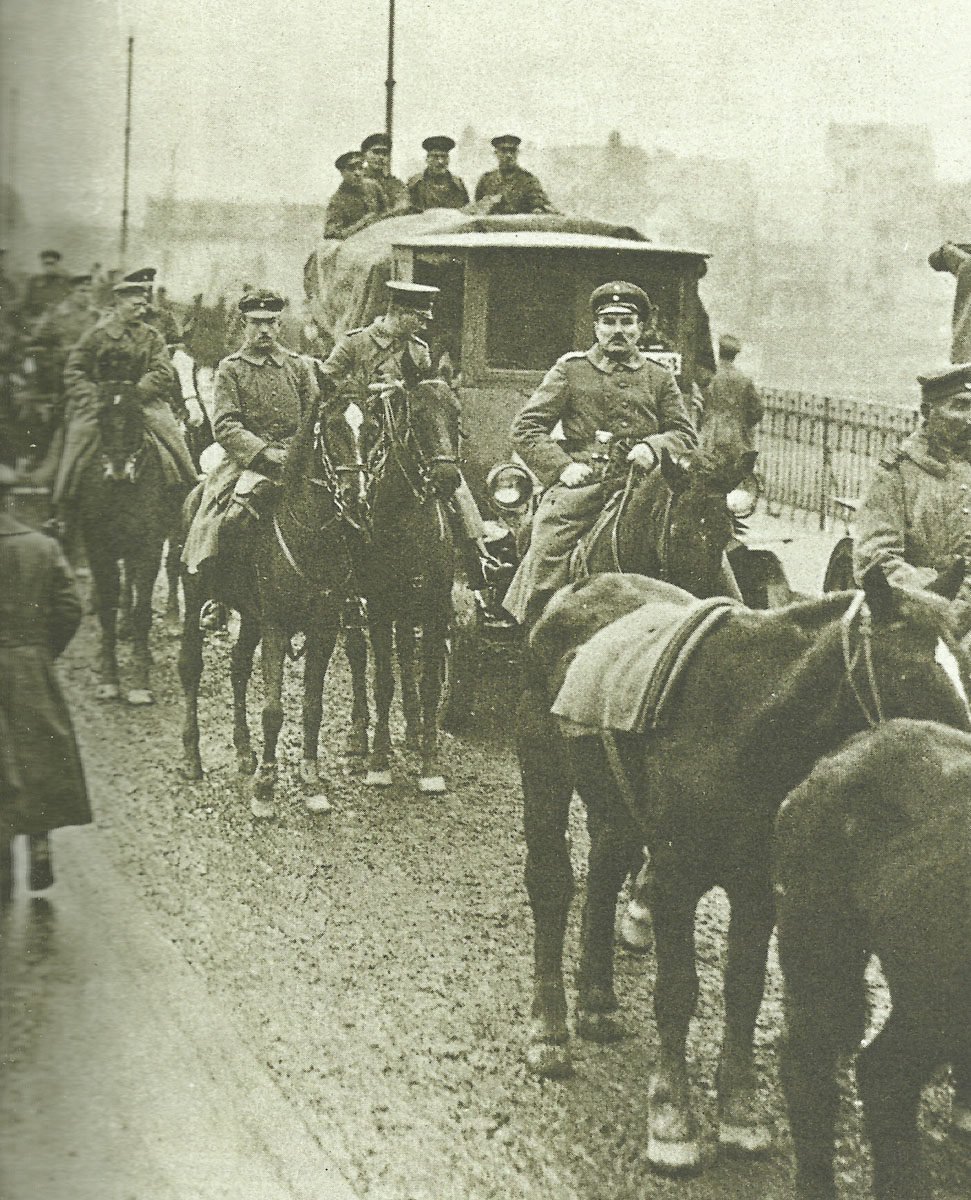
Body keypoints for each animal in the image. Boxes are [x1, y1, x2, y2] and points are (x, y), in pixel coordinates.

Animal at [78, 388, 184, 700]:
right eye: (100, 416)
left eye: (137, 414)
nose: (118, 469)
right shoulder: (99, 547)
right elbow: (108, 606)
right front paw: (108, 676)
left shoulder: (151, 543)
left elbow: (144, 607)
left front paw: (139, 680)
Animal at [177, 393, 367, 816]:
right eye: (333, 430)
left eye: (370, 428)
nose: (356, 498)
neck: (312, 537)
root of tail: (197, 490)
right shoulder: (276, 627)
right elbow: (274, 711)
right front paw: (265, 787)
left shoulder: (323, 628)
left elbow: (312, 706)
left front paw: (311, 779)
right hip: (194, 596)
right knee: (191, 668)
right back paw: (192, 758)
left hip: (250, 616)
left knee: (238, 666)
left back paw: (244, 751)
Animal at [352, 369, 463, 792]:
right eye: (416, 414)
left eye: (456, 413)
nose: (447, 477)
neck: (406, 519)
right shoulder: (380, 607)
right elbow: (382, 681)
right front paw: (379, 760)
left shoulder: (435, 608)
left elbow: (430, 683)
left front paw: (429, 763)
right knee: (357, 656)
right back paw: (359, 733)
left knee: (404, 651)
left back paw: (414, 729)